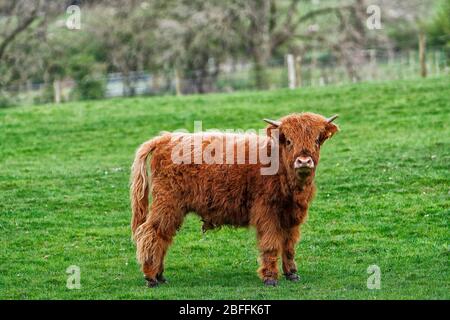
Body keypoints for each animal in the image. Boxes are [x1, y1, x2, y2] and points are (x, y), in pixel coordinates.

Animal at [130, 113, 338, 288]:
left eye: (317, 140)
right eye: (288, 140)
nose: (304, 161)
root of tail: (164, 138)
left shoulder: (292, 215)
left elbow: (289, 246)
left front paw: (292, 273)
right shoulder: (267, 213)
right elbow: (270, 244)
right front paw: (270, 277)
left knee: (163, 237)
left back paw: (159, 275)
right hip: (167, 203)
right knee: (152, 233)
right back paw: (151, 277)